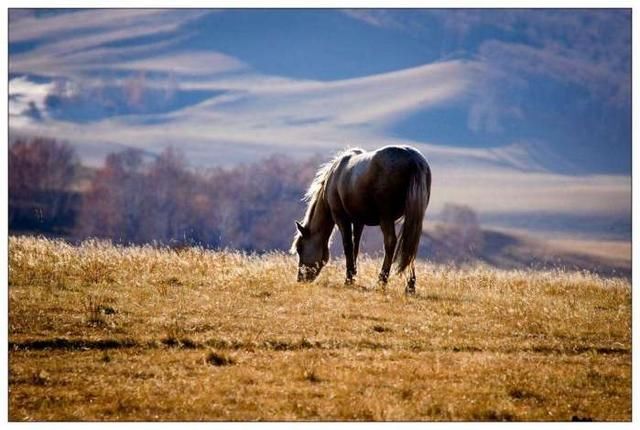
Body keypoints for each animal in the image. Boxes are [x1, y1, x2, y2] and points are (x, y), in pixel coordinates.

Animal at [292, 146, 432, 294]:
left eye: (300, 248)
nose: (300, 279)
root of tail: (414, 161)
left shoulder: (341, 218)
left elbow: (348, 245)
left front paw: (348, 279)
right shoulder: (359, 221)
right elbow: (356, 245)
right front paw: (353, 275)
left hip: (386, 217)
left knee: (390, 242)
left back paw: (382, 281)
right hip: (413, 218)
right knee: (410, 245)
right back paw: (410, 286)